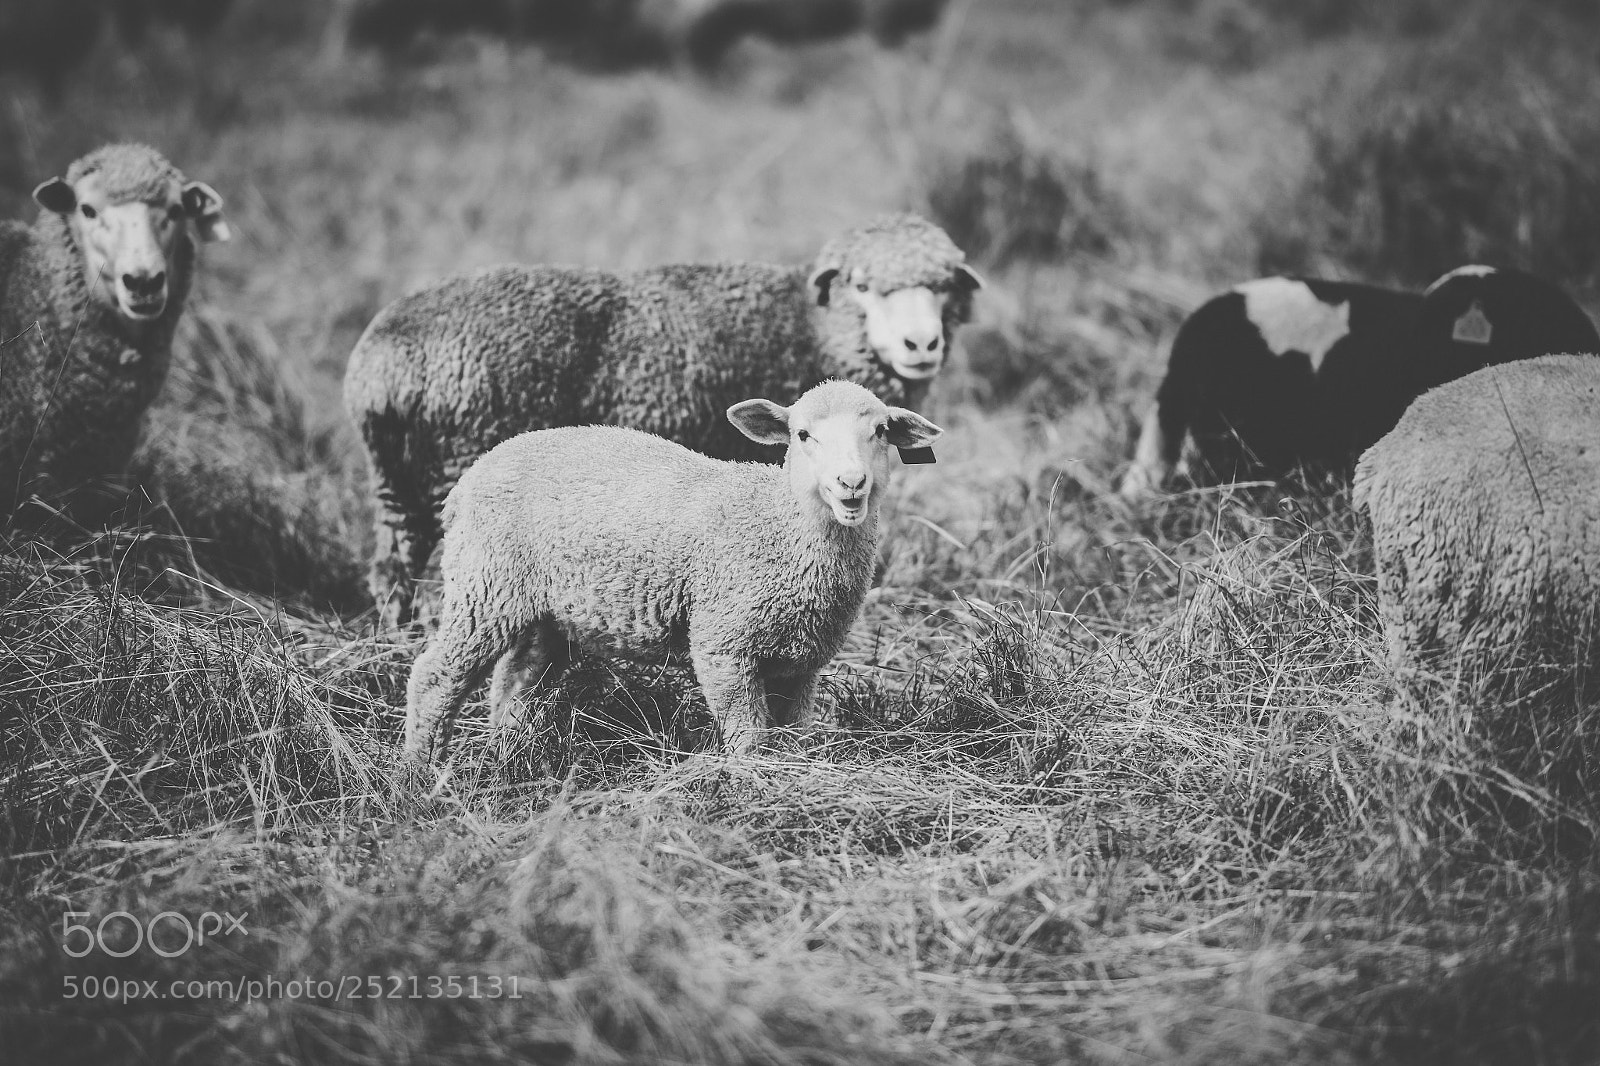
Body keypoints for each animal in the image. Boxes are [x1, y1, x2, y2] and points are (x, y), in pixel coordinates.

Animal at [345, 211, 979, 630]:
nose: (921, 344)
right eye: (863, 286)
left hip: (397, 482)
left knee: (391, 571)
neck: (810, 326)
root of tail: (386, 362)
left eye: (945, 287)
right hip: (461, 468)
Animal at [402, 378, 942, 765]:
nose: (851, 483)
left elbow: (792, 734)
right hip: (484, 583)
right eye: (802, 435)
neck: (780, 525)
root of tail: (471, 476)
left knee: (514, 680)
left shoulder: (802, 661)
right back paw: (419, 772)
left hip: (546, 609)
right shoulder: (724, 644)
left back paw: (509, 756)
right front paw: (751, 787)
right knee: (435, 676)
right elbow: (749, 738)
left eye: (881, 432)